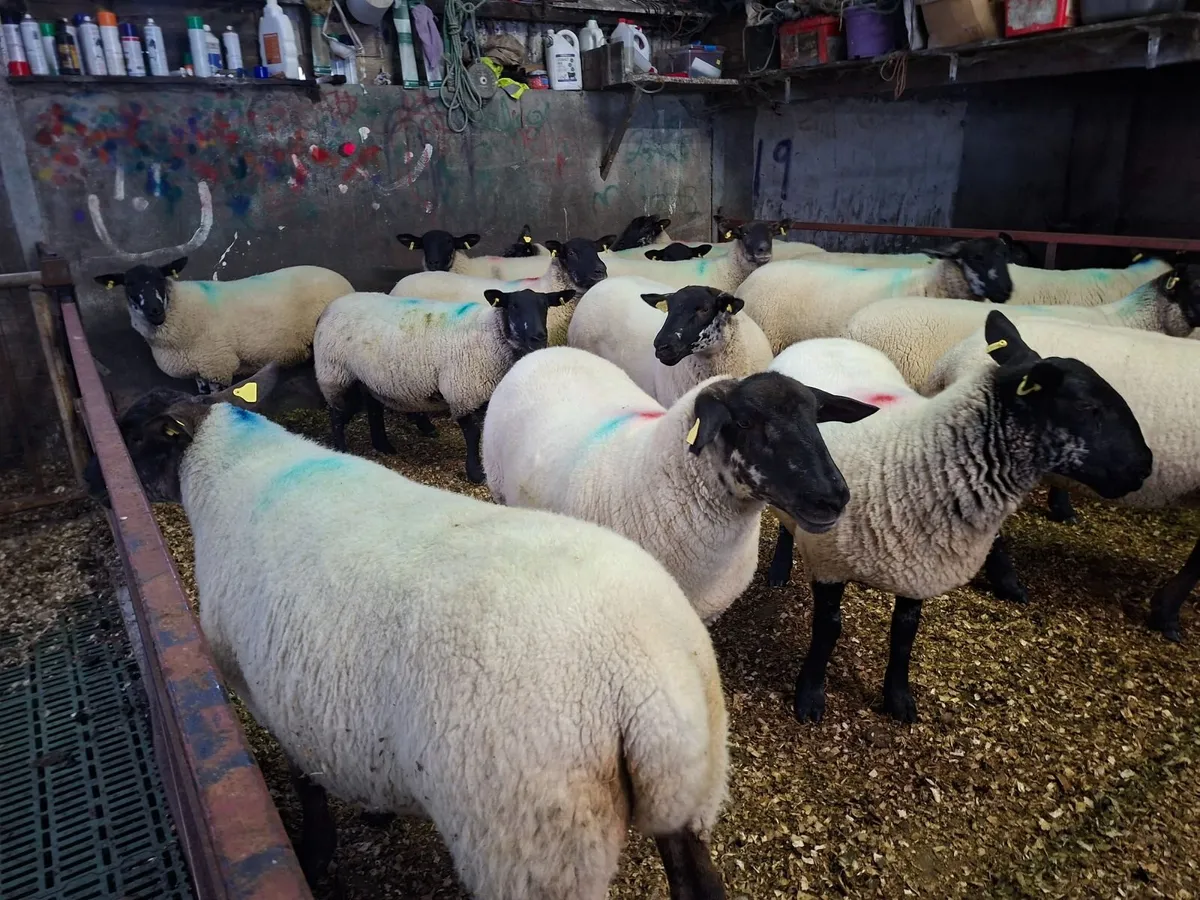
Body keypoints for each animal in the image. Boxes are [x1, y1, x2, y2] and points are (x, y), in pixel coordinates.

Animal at [93, 257, 353, 394]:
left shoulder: (217, 365)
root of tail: (344, 281)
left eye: (160, 279)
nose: (155, 312)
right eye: (129, 286)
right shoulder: (198, 369)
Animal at [115, 366, 729, 900]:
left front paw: (314, 854)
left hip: (533, 843)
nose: (105, 482)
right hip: (691, 794)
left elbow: (306, 783)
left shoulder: (265, 691)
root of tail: (644, 677)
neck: (229, 470)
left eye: (134, 434)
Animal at [314, 288, 571, 483]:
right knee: (337, 414)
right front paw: (476, 473)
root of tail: (328, 308)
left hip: (367, 378)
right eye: (514, 306)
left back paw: (383, 445)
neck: (492, 334)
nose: (538, 337)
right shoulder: (462, 391)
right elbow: (472, 433)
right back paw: (342, 449)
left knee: (374, 409)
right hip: (336, 374)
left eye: (545, 306)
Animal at [767, 312, 1152, 723]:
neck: (916, 454)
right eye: (1085, 406)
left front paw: (898, 698)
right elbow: (829, 629)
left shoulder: (918, 570)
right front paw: (810, 694)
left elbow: (904, 634)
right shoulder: (829, 561)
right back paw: (779, 570)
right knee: (786, 528)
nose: (1145, 466)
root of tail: (823, 340)